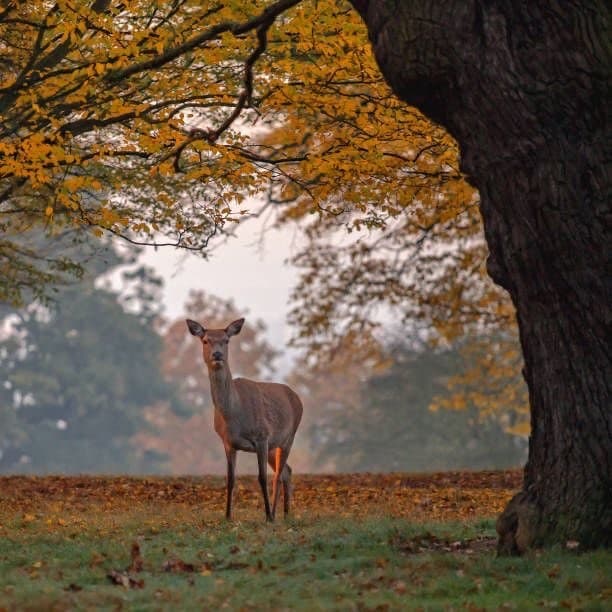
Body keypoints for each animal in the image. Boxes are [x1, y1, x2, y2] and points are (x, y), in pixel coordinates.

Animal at [185, 316, 302, 520]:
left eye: (226, 340)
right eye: (205, 340)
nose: (217, 354)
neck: (233, 416)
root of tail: (297, 397)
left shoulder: (262, 436)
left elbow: (261, 478)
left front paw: (267, 517)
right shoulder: (228, 442)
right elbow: (231, 479)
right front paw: (227, 516)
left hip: (288, 437)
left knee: (278, 475)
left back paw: (274, 515)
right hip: (274, 445)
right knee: (287, 471)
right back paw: (286, 514)